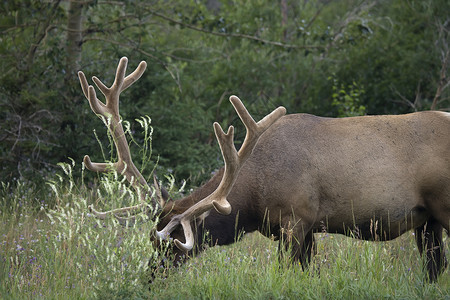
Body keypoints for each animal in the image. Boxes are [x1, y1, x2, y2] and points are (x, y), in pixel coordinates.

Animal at [79, 57, 448, 282]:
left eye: (171, 244)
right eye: (152, 241)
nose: (150, 277)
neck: (251, 200)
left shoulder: (295, 219)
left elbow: (285, 275)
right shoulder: (304, 228)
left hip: (443, 205)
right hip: (426, 220)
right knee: (434, 268)